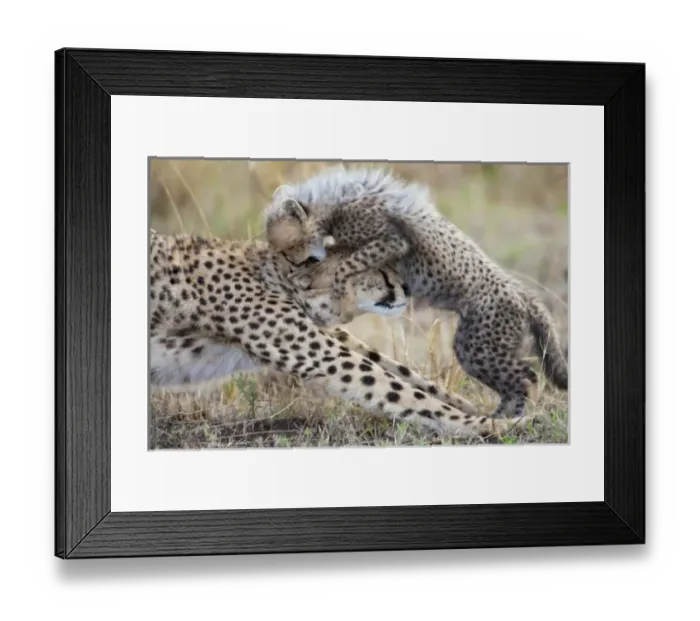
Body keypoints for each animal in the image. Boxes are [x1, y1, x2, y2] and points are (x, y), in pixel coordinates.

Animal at [149, 228, 527, 438]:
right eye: (378, 267)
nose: (406, 288)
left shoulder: (322, 336)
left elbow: (397, 369)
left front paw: (481, 407)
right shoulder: (319, 351)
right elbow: (395, 388)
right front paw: (492, 426)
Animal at [264, 165, 569, 420]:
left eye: (289, 250)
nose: (289, 266)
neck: (331, 203)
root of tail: (523, 293)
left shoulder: (391, 240)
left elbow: (349, 262)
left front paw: (327, 282)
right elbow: (342, 258)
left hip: (478, 347)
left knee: (527, 376)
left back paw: (513, 415)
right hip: (478, 347)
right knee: (515, 381)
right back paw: (499, 415)